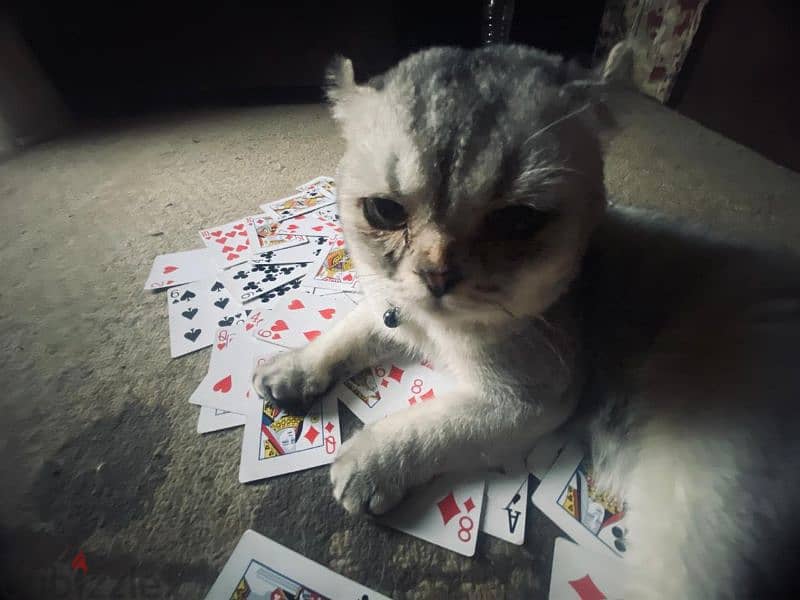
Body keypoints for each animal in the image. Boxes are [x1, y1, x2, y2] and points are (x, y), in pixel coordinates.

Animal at [253, 44, 800, 596]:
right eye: (385, 211)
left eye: (517, 221)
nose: (435, 274)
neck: (436, 332)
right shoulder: (395, 309)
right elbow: (349, 330)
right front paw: (294, 368)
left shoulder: (532, 399)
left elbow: (430, 423)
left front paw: (371, 462)